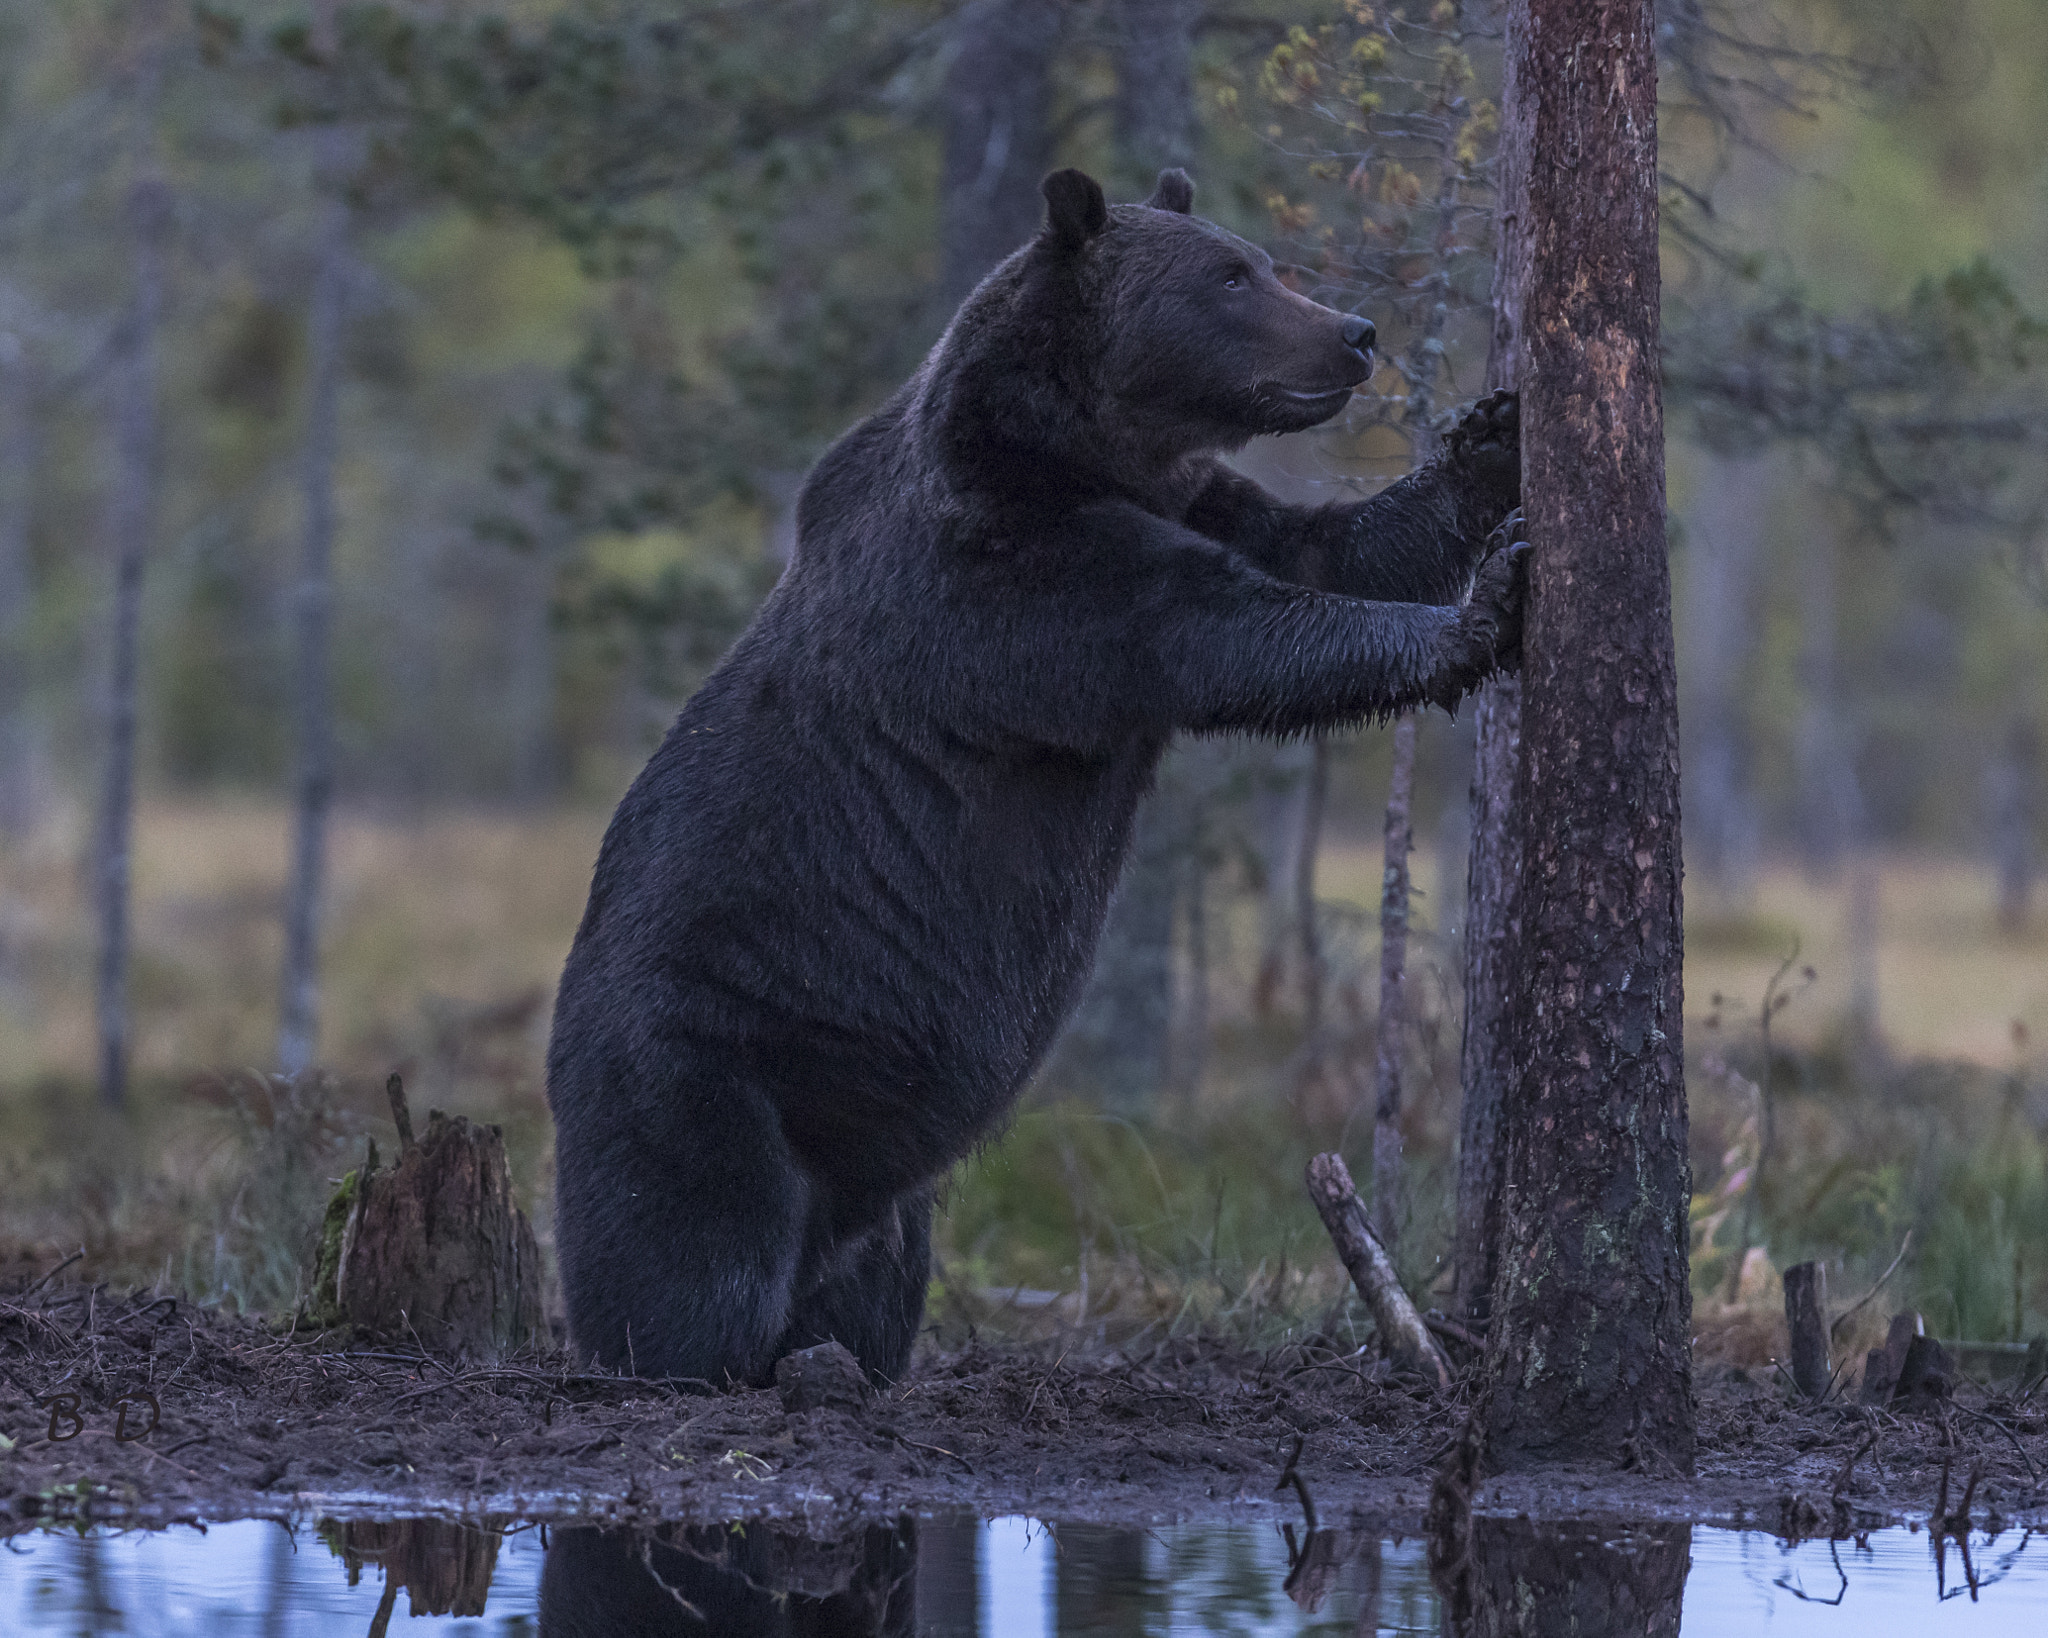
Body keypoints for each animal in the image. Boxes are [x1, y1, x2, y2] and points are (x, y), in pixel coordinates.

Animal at [544, 169, 1523, 1384]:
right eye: (1231, 277)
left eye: (1258, 261)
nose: (1353, 331)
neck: (1086, 451)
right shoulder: (1015, 584)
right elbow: (1237, 634)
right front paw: (1485, 609)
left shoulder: (1192, 501)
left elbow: (1334, 546)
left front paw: (1490, 441)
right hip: (701, 1065)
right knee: (701, 1251)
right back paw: (726, 1357)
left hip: (875, 1164)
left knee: (875, 1272)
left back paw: (844, 1356)